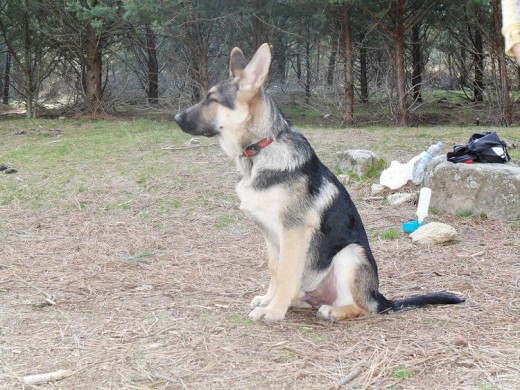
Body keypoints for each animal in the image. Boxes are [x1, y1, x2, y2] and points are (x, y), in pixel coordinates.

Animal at [175, 43, 464, 322]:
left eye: (212, 99)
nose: (175, 118)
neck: (260, 149)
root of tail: (380, 297)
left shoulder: (293, 230)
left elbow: (286, 273)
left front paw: (273, 311)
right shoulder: (269, 234)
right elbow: (275, 270)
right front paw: (270, 300)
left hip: (350, 255)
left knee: (364, 309)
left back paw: (333, 311)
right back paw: (298, 302)